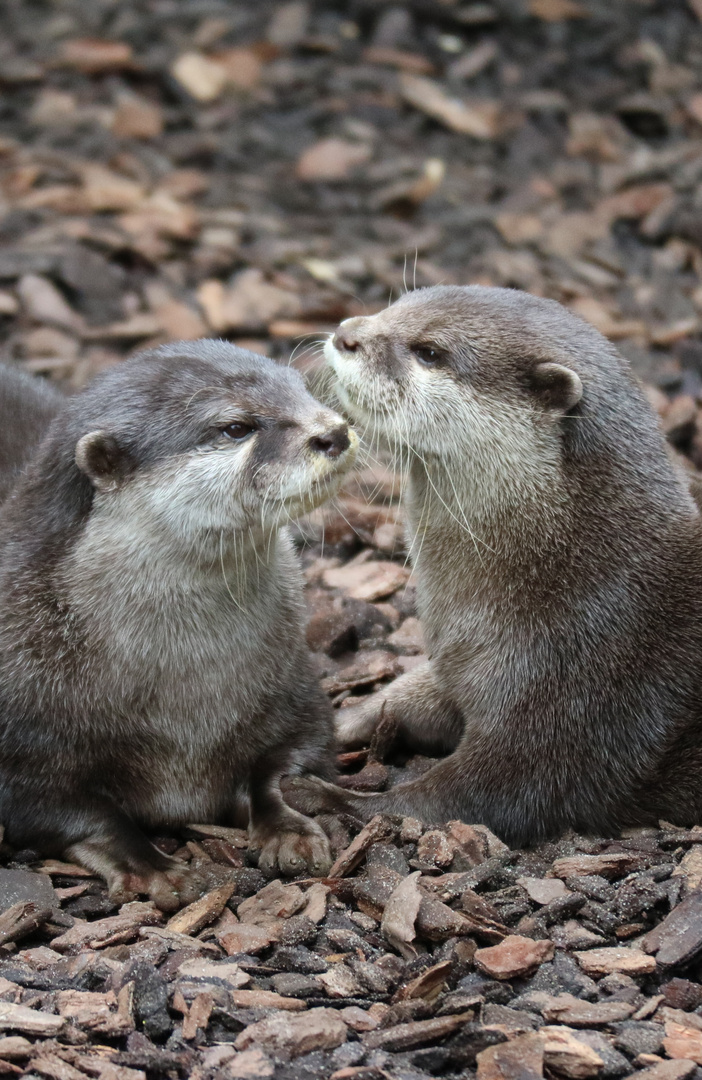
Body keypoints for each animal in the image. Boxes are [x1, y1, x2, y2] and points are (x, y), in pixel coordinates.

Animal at [0, 347, 356, 911]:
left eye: (302, 389)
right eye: (236, 427)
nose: (334, 431)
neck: (185, 708)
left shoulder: (295, 691)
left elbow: (290, 765)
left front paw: (287, 831)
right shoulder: (24, 746)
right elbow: (82, 815)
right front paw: (154, 867)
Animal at [289, 285, 702, 842]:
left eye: (430, 352)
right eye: (396, 305)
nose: (346, 333)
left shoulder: (576, 698)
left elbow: (470, 797)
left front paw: (319, 795)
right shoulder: (458, 663)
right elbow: (406, 696)